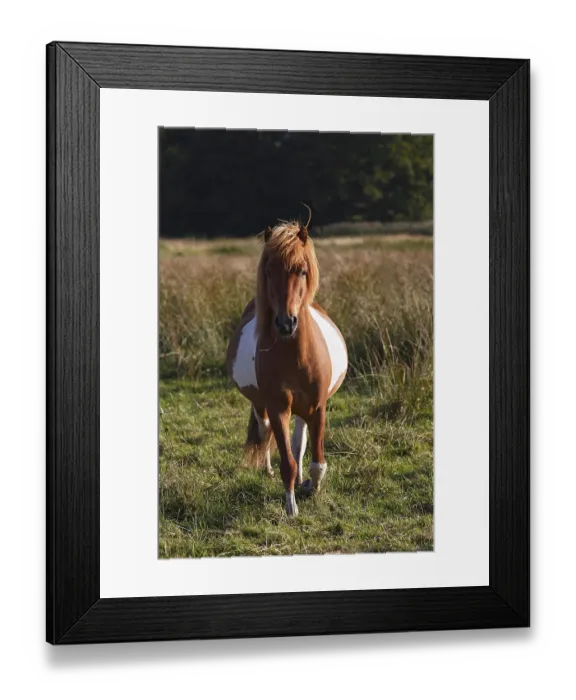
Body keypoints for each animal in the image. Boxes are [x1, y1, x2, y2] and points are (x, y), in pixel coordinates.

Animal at [226, 213, 348, 516]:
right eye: (269, 271)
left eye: (302, 271)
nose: (285, 323)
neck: (295, 355)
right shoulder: (278, 406)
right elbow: (287, 462)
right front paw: (291, 508)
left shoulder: (318, 408)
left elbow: (315, 460)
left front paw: (312, 487)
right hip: (261, 403)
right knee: (265, 430)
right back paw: (267, 469)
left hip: (304, 409)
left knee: (298, 442)